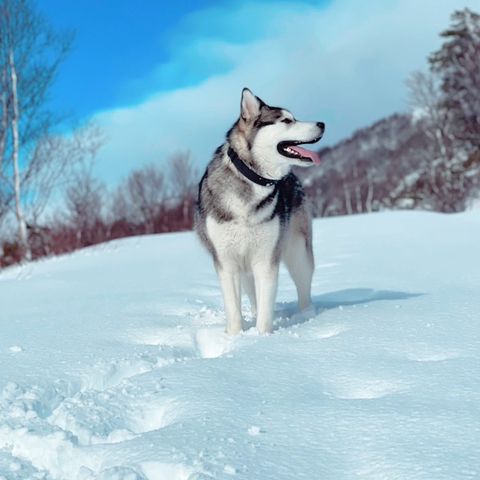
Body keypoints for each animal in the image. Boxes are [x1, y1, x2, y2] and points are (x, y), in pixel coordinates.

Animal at [195, 89, 326, 334]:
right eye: (286, 120)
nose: (322, 123)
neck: (251, 178)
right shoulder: (227, 263)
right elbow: (234, 310)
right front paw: (235, 337)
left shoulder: (266, 260)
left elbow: (266, 311)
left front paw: (262, 339)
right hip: (246, 266)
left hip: (298, 254)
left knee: (303, 289)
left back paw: (307, 315)